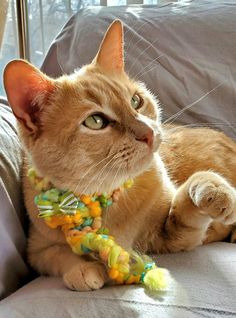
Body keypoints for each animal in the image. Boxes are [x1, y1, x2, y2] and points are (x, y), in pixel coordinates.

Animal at [3, 21, 236, 292]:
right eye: (95, 121)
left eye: (135, 101)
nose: (148, 133)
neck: (106, 198)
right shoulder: (37, 251)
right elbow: (59, 255)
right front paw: (82, 269)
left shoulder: (174, 236)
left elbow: (186, 204)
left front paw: (211, 190)